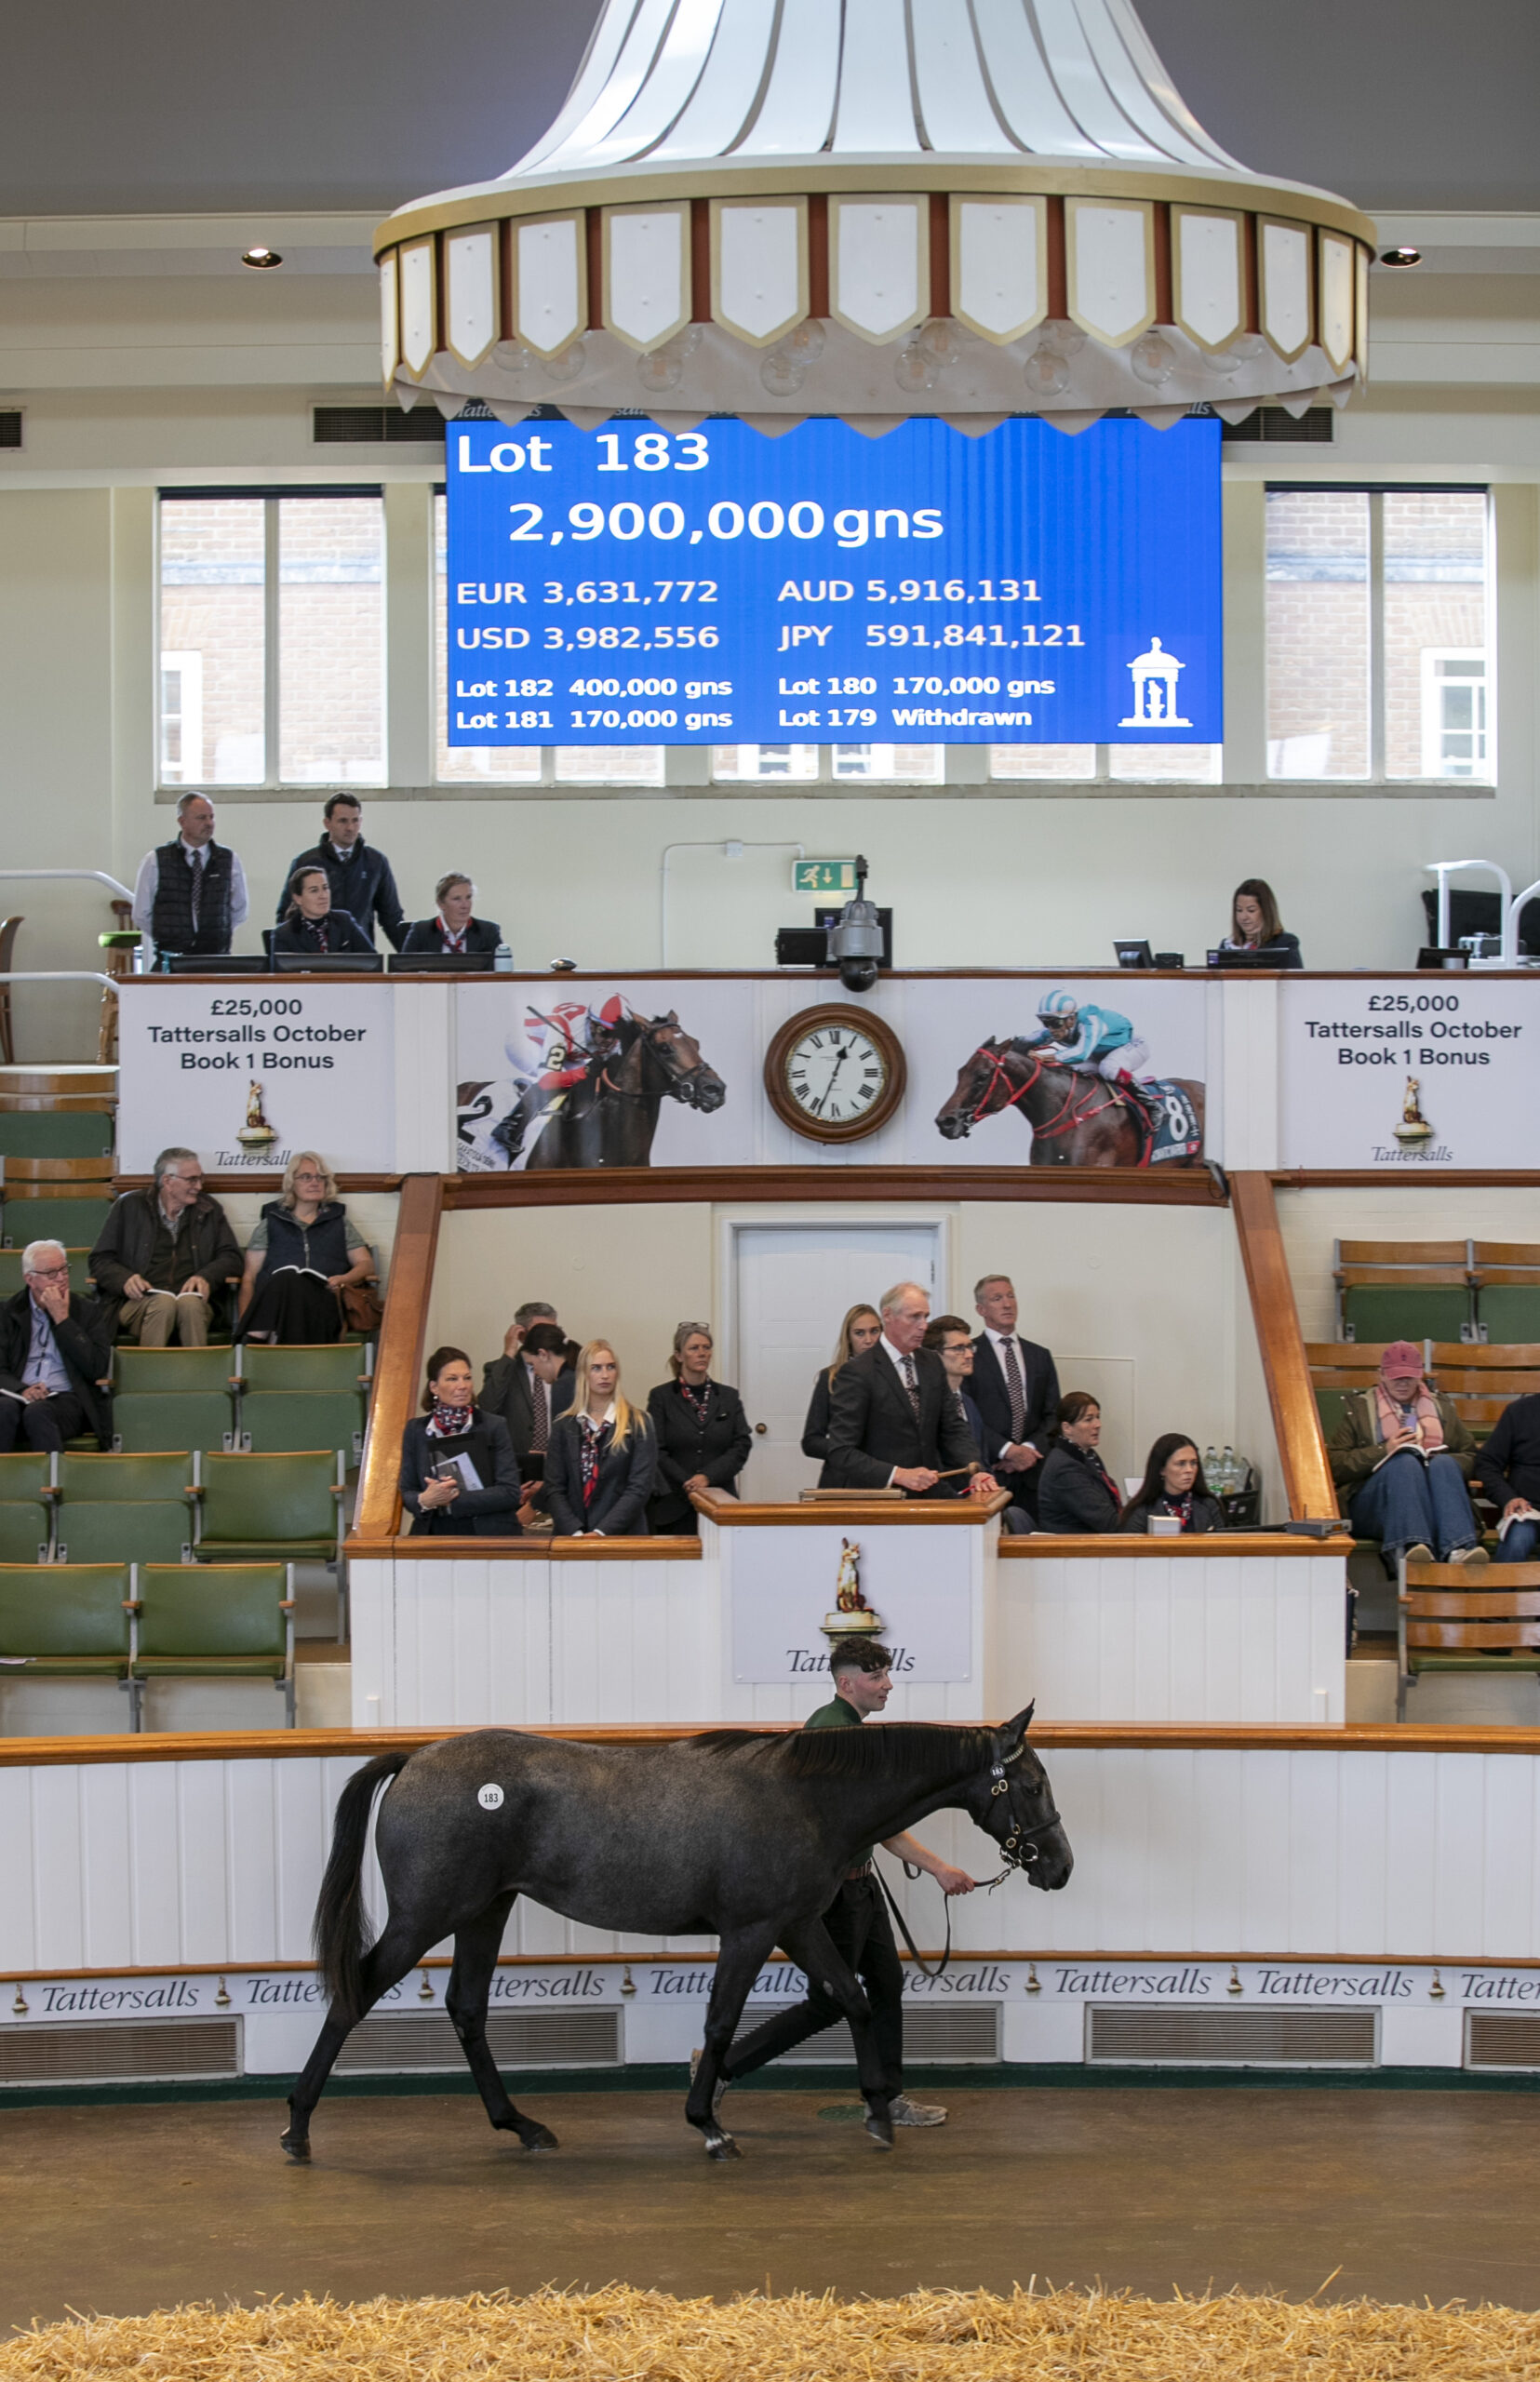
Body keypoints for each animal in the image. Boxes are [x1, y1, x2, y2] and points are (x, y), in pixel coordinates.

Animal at [280, 1715, 1072, 2162]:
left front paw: (878, 2114)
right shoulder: (750, 1930)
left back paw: (523, 2127)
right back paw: (297, 2129)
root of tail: (413, 1759)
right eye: (1031, 1785)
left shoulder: (794, 1924)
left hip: (484, 1912)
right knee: (353, 1996)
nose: (1058, 1867)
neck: (806, 1797)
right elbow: (721, 2021)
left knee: (466, 2009)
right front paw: (709, 2126)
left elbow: (848, 1997)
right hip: (429, 1915)